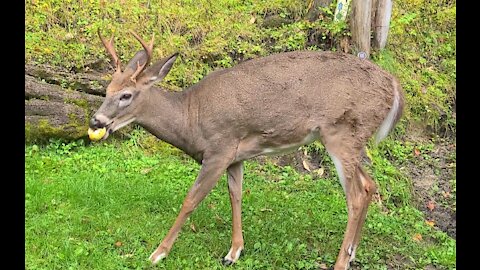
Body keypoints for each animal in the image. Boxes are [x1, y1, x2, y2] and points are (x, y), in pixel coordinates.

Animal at [91, 30, 404, 270]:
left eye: (126, 95)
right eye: (106, 90)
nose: (96, 121)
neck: (190, 119)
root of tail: (393, 85)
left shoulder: (218, 149)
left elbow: (191, 199)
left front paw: (158, 253)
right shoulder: (235, 156)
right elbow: (236, 196)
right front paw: (233, 252)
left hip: (342, 132)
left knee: (355, 196)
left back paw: (340, 262)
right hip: (353, 139)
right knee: (369, 185)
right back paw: (352, 254)